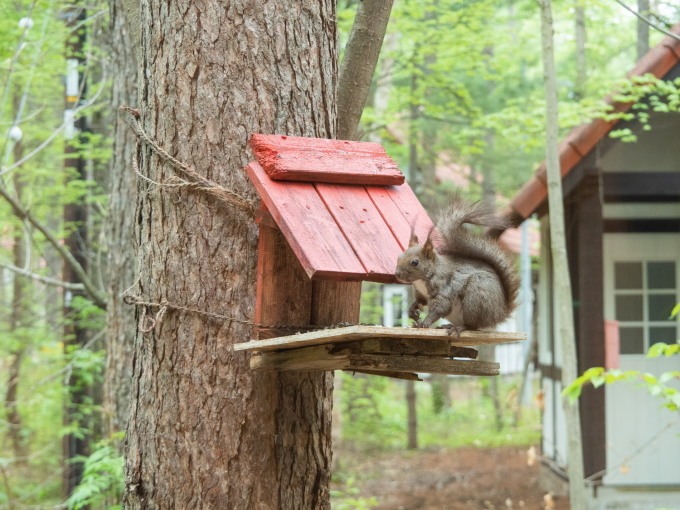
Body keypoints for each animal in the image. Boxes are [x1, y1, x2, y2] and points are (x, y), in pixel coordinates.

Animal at [396, 195, 516, 334]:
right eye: (399, 257)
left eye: (415, 262)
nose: (397, 274)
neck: (423, 279)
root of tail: (500, 313)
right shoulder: (421, 292)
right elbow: (421, 300)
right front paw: (412, 309)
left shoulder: (444, 289)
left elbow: (440, 308)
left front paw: (424, 323)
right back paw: (447, 326)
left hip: (476, 297)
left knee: (473, 326)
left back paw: (459, 328)